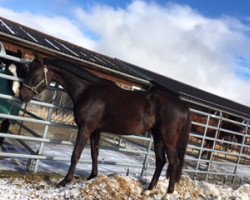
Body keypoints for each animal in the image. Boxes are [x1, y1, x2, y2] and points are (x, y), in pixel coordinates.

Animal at [19, 57, 191, 194]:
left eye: (34, 74)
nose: (22, 95)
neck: (88, 91)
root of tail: (182, 105)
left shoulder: (85, 128)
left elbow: (76, 154)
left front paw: (65, 181)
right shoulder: (95, 130)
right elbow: (94, 153)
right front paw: (91, 177)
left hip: (168, 137)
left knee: (173, 162)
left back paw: (168, 193)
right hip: (157, 136)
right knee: (161, 161)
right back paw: (148, 189)